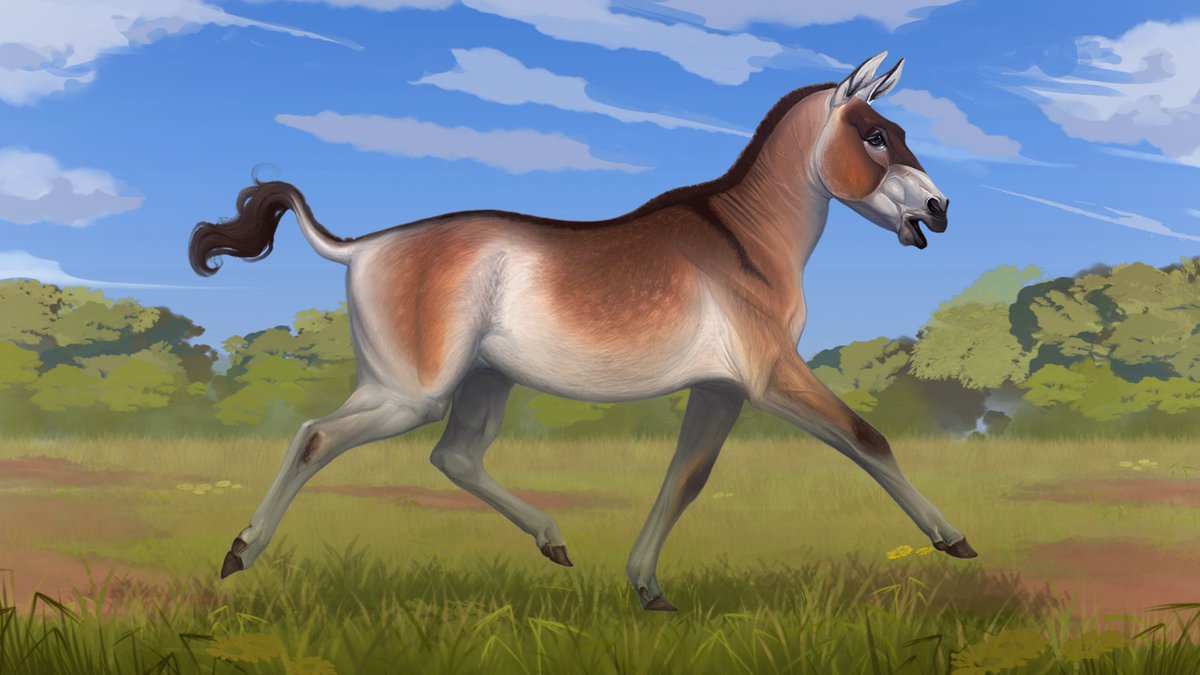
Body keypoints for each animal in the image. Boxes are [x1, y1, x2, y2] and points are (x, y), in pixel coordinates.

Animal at [189, 52, 972, 612]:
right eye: (876, 135)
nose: (938, 209)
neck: (743, 240)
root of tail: (361, 248)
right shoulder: (772, 377)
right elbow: (866, 438)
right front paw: (955, 539)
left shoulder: (721, 390)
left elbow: (685, 478)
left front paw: (649, 589)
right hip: (410, 391)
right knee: (316, 436)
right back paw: (239, 553)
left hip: (481, 384)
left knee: (454, 458)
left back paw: (554, 543)